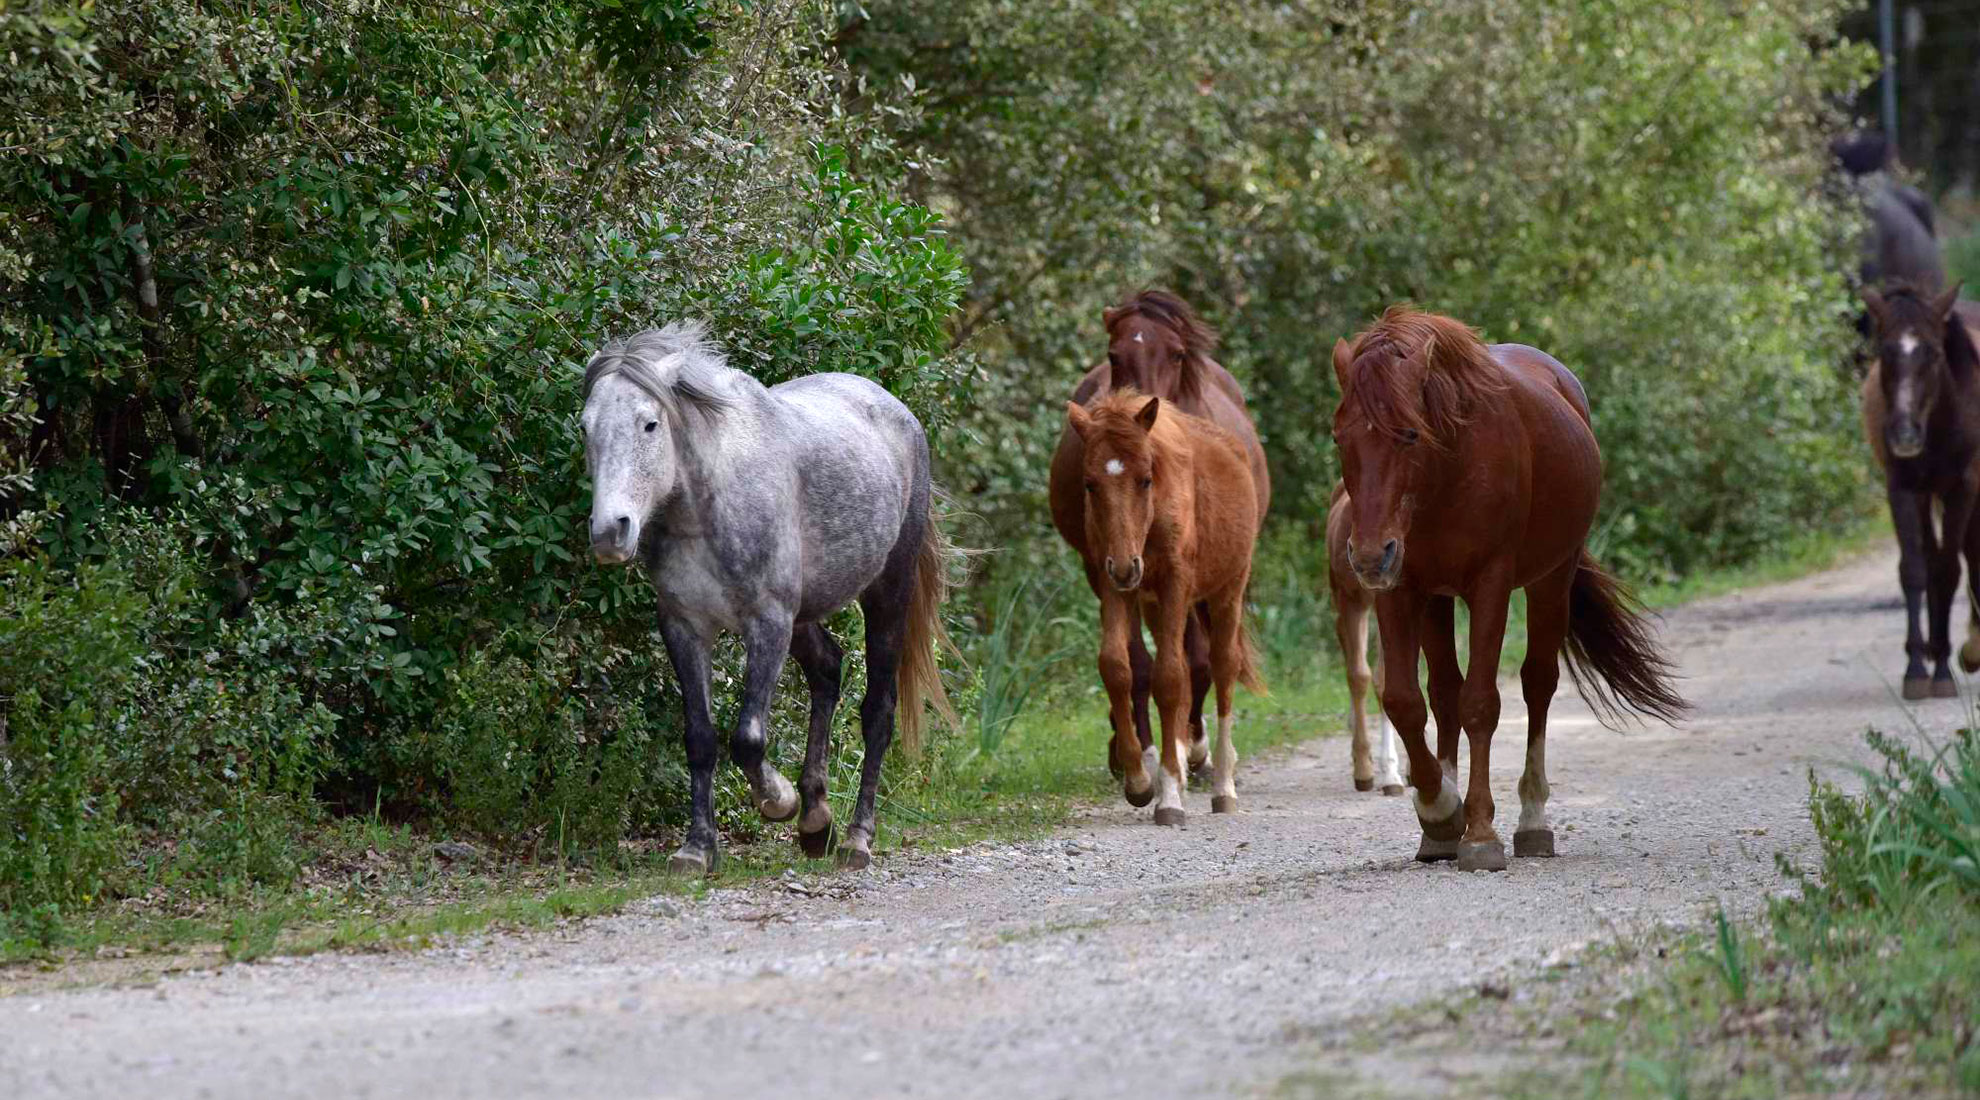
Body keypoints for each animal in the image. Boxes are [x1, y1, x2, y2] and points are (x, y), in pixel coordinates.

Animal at [578, 318, 958, 878]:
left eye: (649, 424)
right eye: (585, 428)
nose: (609, 532)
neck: (707, 508)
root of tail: (900, 413)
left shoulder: (768, 624)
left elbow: (748, 737)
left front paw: (777, 800)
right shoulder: (684, 627)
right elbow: (700, 737)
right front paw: (697, 848)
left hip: (886, 595)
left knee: (878, 712)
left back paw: (855, 838)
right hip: (804, 618)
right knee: (827, 670)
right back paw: (817, 820)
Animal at [1069, 385, 1267, 823]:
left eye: (1145, 479)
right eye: (1089, 484)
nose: (1126, 566)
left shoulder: (1176, 583)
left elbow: (1171, 677)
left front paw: (1170, 798)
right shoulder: (1111, 583)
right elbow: (1117, 667)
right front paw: (1141, 781)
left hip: (1226, 591)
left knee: (1223, 668)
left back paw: (1222, 786)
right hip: (1155, 604)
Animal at [1330, 304, 1686, 870]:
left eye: (1408, 434)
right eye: (1340, 438)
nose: (1366, 555)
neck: (1446, 472)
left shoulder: (1490, 586)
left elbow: (1481, 703)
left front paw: (1479, 832)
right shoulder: (1403, 589)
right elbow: (1407, 700)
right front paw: (1440, 811)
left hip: (1550, 581)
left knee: (1537, 684)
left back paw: (1532, 821)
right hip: (1436, 600)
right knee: (1443, 693)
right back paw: (1441, 830)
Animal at [1853, 278, 1980, 700]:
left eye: (1935, 353)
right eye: (1884, 351)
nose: (1905, 434)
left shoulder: (1963, 489)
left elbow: (1948, 571)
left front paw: (1941, 669)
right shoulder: (1904, 489)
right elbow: (1914, 569)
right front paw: (1917, 668)